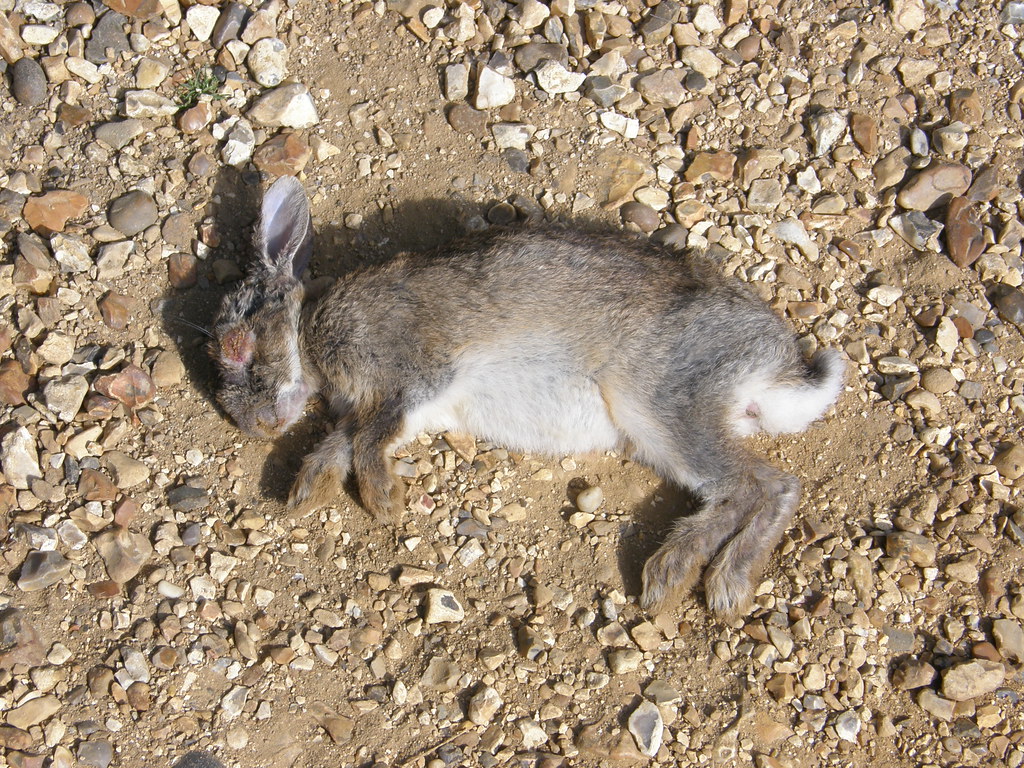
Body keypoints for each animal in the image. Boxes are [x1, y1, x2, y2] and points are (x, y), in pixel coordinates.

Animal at [211, 177, 844, 619]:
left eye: (237, 347)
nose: (253, 426)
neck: (307, 335)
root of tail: (778, 368)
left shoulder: (411, 378)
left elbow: (367, 439)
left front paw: (384, 502)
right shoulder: (388, 406)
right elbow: (341, 441)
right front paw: (305, 491)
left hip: (662, 403)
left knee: (763, 486)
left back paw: (694, 578)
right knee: (757, 488)